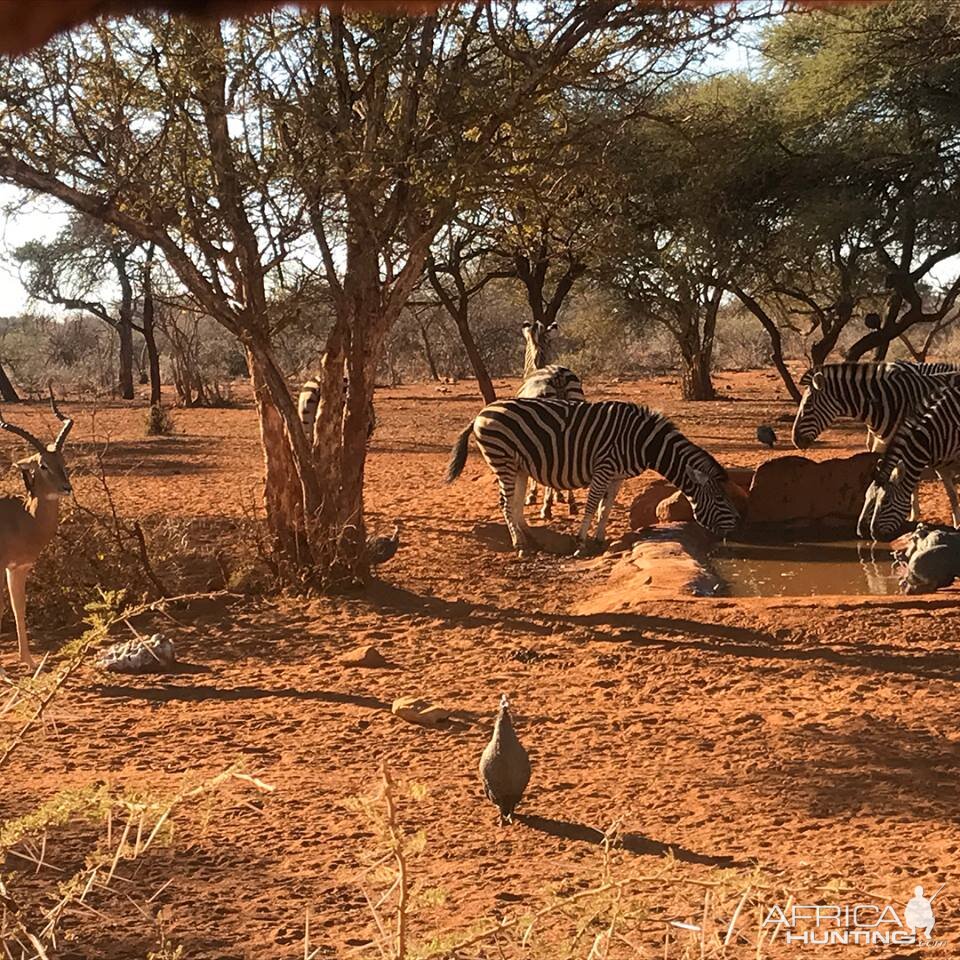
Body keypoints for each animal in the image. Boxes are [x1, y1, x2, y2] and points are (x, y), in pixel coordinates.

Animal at [446, 394, 740, 552]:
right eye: (720, 499)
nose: (735, 528)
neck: (644, 442)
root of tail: (482, 412)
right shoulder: (604, 467)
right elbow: (591, 505)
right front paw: (581, 542)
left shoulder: (617, 475)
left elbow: (606, 508)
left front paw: (599, 539)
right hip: (502, 459)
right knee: (506, 504)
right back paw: (519, 544)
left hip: (517, 465)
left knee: (515, 505)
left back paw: (530, 536)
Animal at [788, 362, 960, 524]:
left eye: (808, 406)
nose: (795, 440)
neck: (888, 403)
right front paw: (912, 513)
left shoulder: (913, 442)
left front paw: (912, 514)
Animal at [860, 380, 960, 544]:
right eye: (867, 497)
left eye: (885, 501)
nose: (871, 534)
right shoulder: (942, 466)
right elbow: (952, 496)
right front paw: (957, 525)